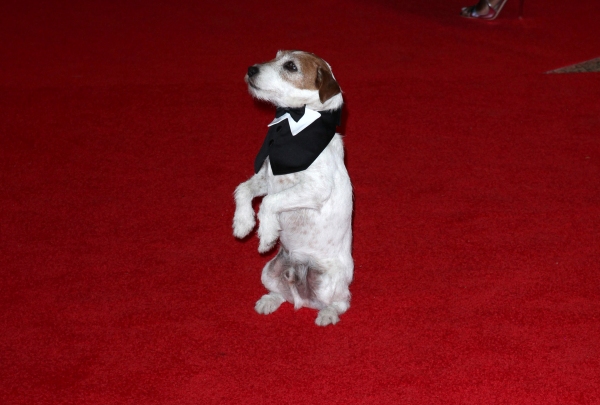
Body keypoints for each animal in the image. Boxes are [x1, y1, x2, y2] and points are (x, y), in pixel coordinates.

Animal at [232, 50, 354, 326]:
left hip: (329, 281)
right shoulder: (266, 179)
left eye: (290, 66)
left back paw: (327, 314)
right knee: (282, 293)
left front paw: (266, 234)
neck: (289, 128)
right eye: (276, 56)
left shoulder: (315, 189)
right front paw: (243, 223)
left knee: (342, 301)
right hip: (268, 270)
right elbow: (242, 190)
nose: (251, 69)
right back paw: (269, 300)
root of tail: (303, 298)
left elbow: (269, 203)